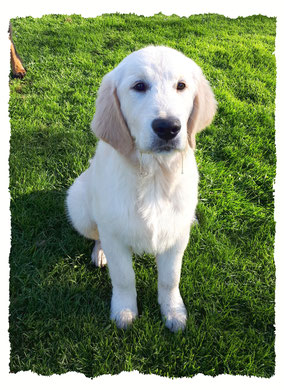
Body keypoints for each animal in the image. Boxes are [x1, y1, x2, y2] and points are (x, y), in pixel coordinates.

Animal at [65, 45, 216, 332]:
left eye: (181, 85)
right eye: (139, 86)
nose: (168, 127)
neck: (154, 174)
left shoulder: (177, 235)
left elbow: (170, 278)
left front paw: (174, 311)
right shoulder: (115, 234)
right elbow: (124, 277)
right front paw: (124, 311)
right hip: (78, 206)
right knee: (97, 235)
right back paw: (99, 253)